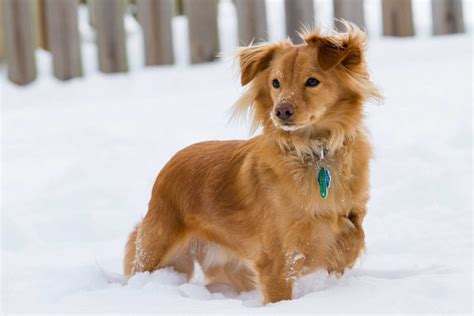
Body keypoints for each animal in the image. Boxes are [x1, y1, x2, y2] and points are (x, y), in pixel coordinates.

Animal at [123, 22, 382, 304]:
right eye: (275, 83)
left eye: (312, 81)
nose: (281, 111)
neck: (315, 152)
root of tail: (171, 162)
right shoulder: (277, 260)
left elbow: (352, 238)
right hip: (155, 252)